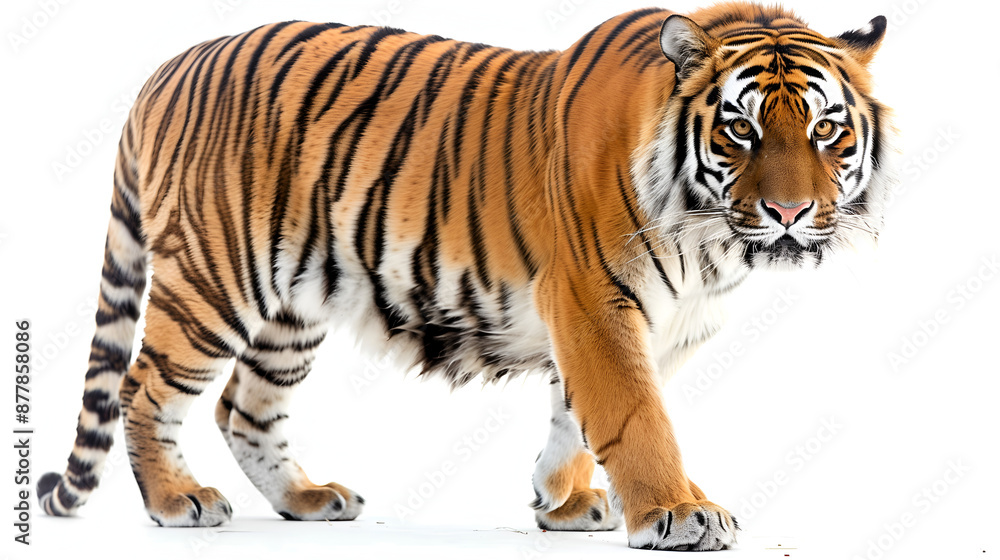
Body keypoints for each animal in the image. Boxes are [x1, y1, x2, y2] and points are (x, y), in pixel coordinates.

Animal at [37, 1, 897, 551]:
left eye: (826, 129)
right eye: (740, 129)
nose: (790, 211)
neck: (710, 240)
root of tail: (166, 67)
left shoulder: (643, 319)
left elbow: (576, 411)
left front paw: (561, 499)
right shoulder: (593, 296)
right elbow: (635, 414)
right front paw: (678, 513)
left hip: (293, 308)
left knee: (243, 408)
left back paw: (307, 501)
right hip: (214, 282)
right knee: (144, 388)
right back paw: (176, 500)